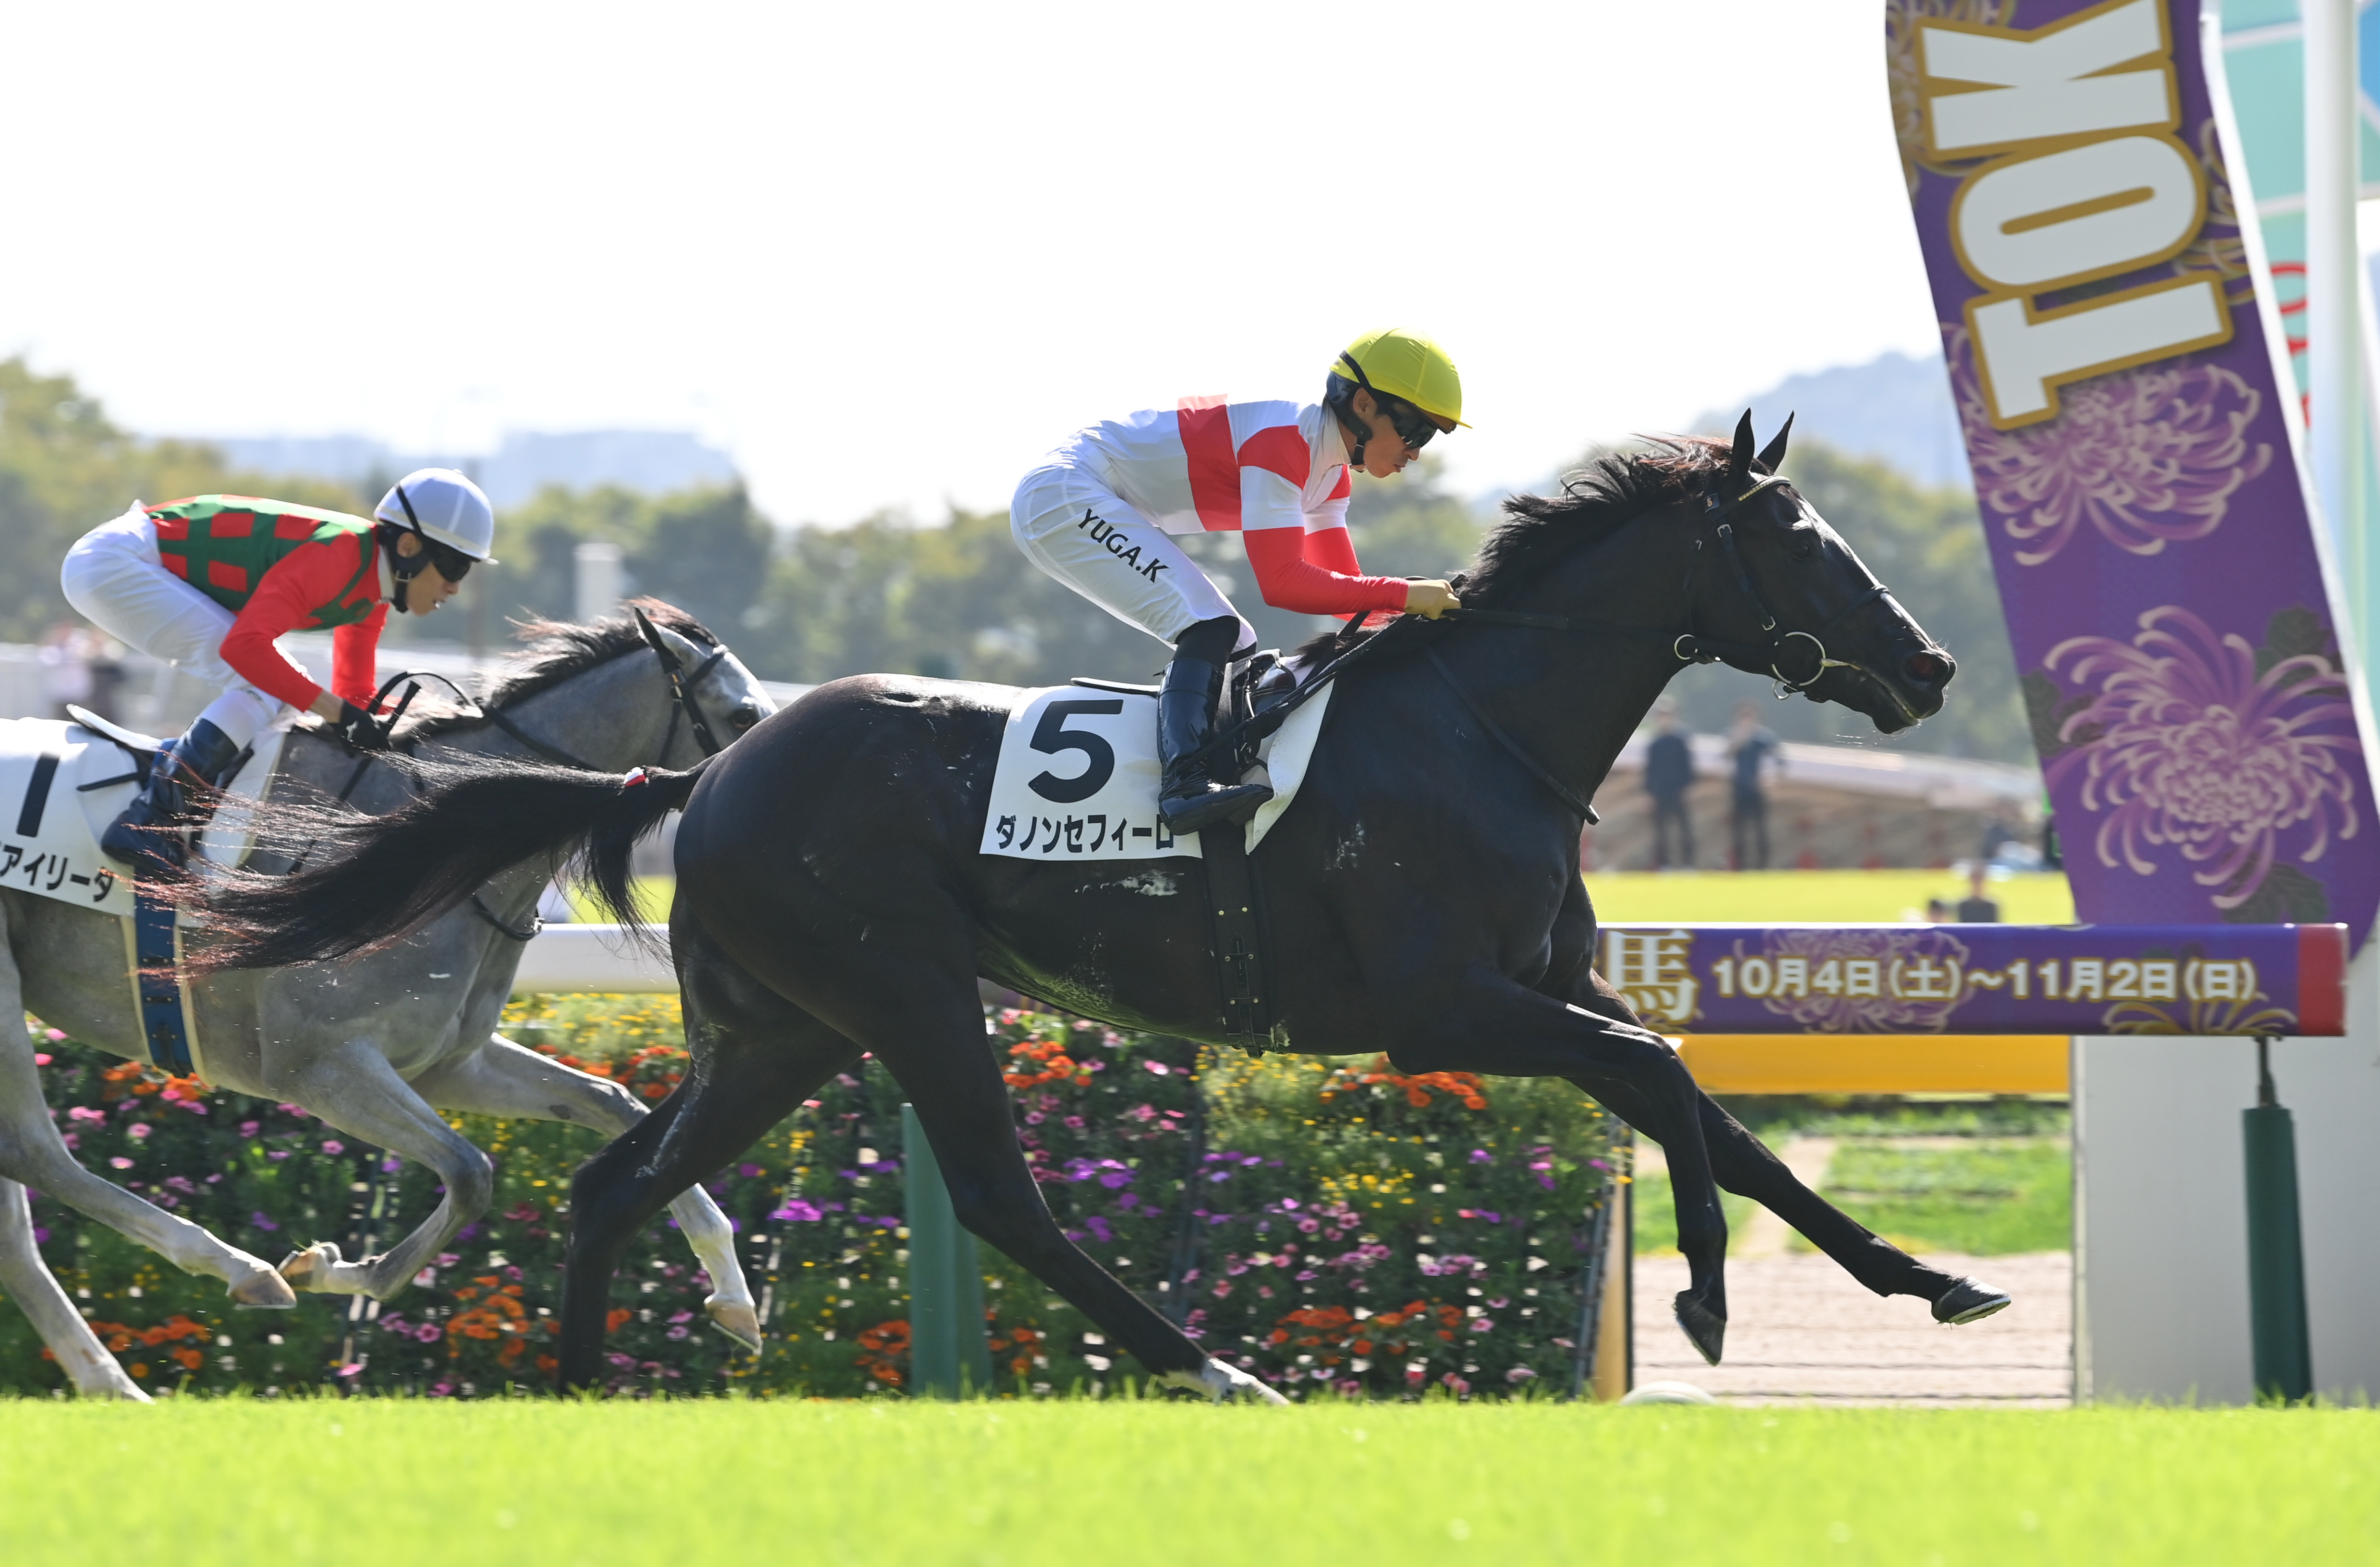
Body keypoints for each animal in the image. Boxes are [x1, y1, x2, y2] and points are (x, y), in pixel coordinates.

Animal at [0, 603, 776, 1399]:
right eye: (742, 712)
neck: (430, 847)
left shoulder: (449, 1062)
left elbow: (612, 1100)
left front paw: (734, 1297)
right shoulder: (318, 1066)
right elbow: (469, 1172)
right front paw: (332, 1269)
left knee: (15, 1220)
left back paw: (112, 1379)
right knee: (36, 1154)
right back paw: (243, 1272)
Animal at [192, 418, 2011, 1398]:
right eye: (1799, 538)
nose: (1928, 668)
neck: (1476, 731)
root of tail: (704, 777)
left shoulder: (1547, 994)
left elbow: (1722, 1115)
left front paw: (1927, 1283)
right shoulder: (1443, 1011)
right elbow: (1667, 1086)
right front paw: (1700, 1294)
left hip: (783, 1029)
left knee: (616, 1183)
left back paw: (575, 1393)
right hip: (909, 994)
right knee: (1000, 1199)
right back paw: (1218, 1363)